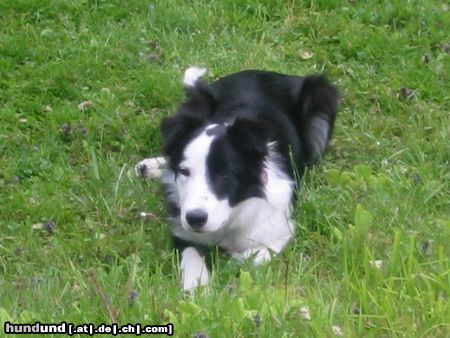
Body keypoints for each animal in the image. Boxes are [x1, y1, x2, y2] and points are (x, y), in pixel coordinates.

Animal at [137, 66, 338, 290]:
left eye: (224, 173)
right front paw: (197, 286)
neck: (230, 218)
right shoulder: (182, 229)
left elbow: (246, 259)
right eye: (184, 171)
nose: (196, 218)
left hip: (320, 98)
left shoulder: (280, 231)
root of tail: (262, 71)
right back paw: (150, 166)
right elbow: (191, 257)